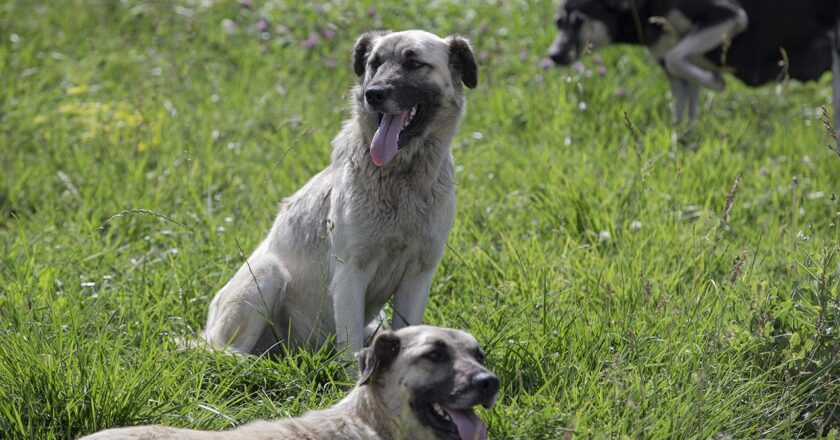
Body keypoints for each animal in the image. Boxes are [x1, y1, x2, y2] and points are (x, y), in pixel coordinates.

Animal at [548, 0, 836, 130]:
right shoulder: (675, 69)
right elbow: (683, 106)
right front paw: (682, 136)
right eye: (557, 22)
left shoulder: (729, 16)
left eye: (579, 21)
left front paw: (716, 82)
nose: (553, 55)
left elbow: (677, 58)